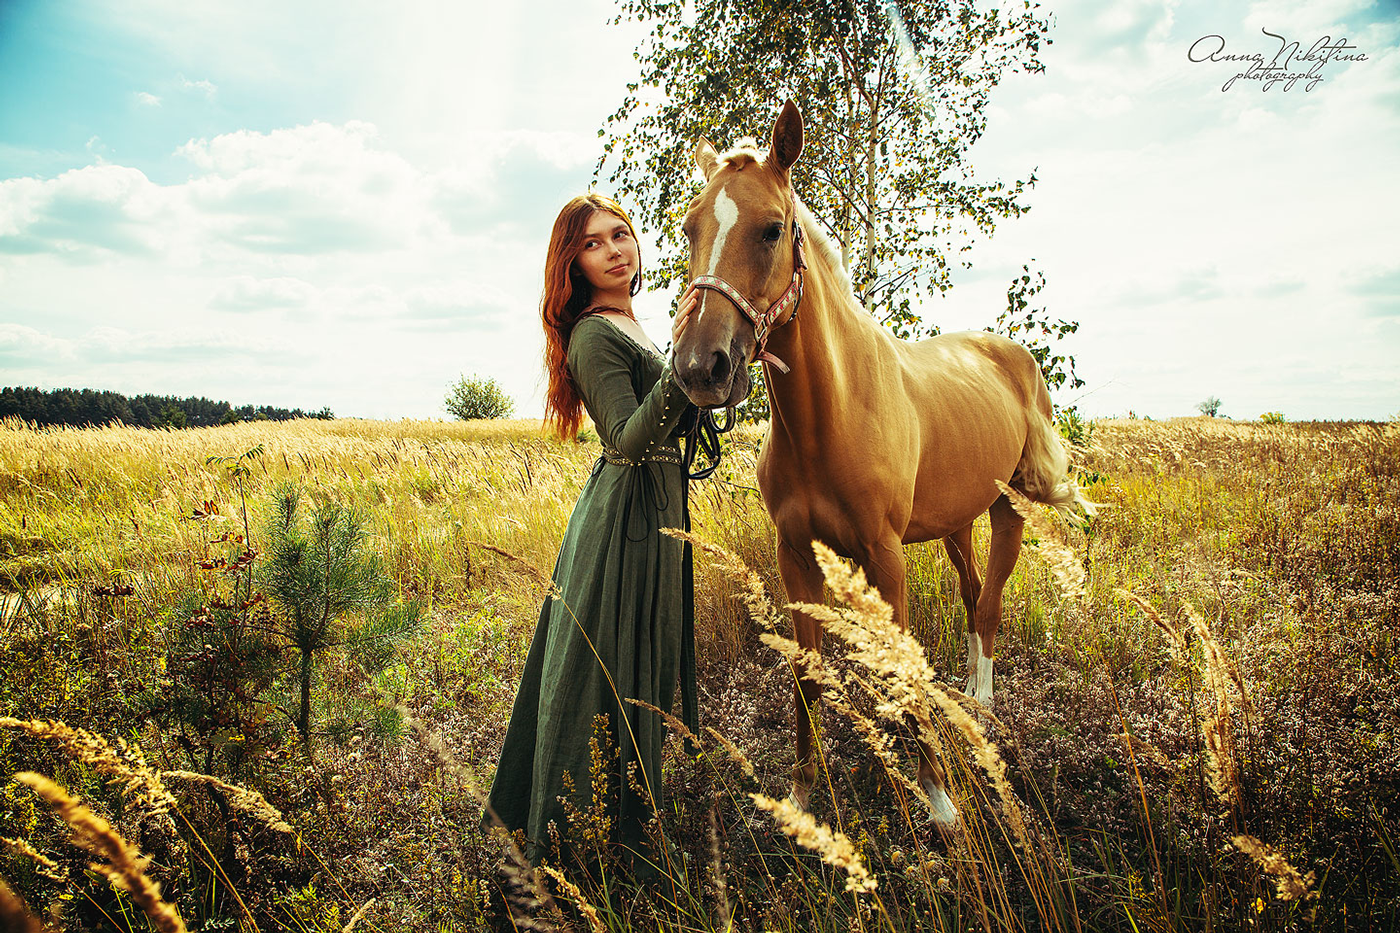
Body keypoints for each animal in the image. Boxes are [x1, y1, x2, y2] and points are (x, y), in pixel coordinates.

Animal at [672, 98, 1086, 818]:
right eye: (692, 227)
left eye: (772, 229)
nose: (702, 366)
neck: (831, 418)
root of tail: (1009, 354)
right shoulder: (796, 555)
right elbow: (807, 676)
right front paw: (804, 795)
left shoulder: (885, 556)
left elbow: (902, 666)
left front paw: (940, 802)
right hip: (954, 521)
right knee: (971, 592)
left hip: (1007, 507)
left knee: (990, 601)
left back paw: (981, 704)